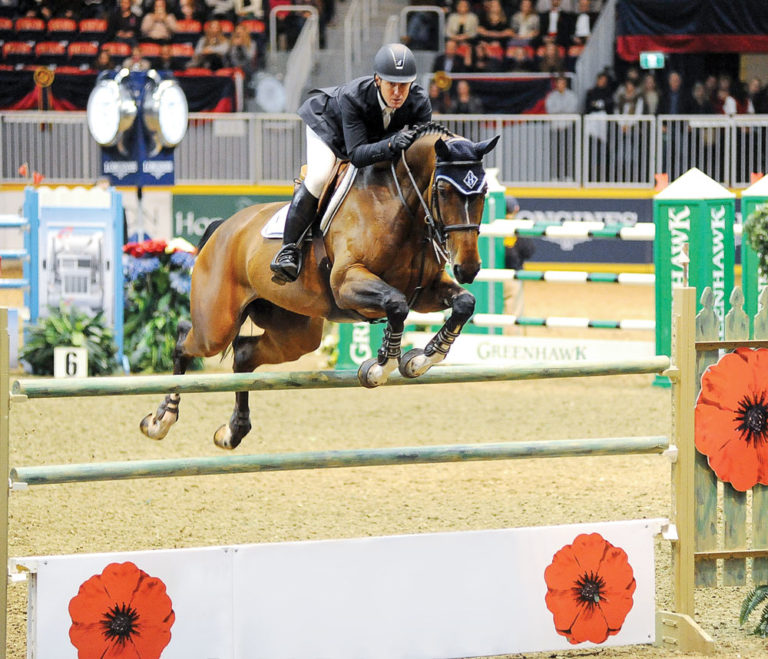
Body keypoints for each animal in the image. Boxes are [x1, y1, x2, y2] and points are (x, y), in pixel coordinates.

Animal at [140, 122, 499, 449]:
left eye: (482, 193)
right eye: (443, 191)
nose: (468, 267)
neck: (399, 206)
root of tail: (224, 228)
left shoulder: (425, 291)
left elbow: (464, 303)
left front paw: (422, 358)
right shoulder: (347, 283)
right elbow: (396, 305)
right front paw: (380, 366)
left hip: (295, 333)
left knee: (243, 354)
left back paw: (233, 431)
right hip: (217, 324)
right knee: (184, 343)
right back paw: (161, 420)